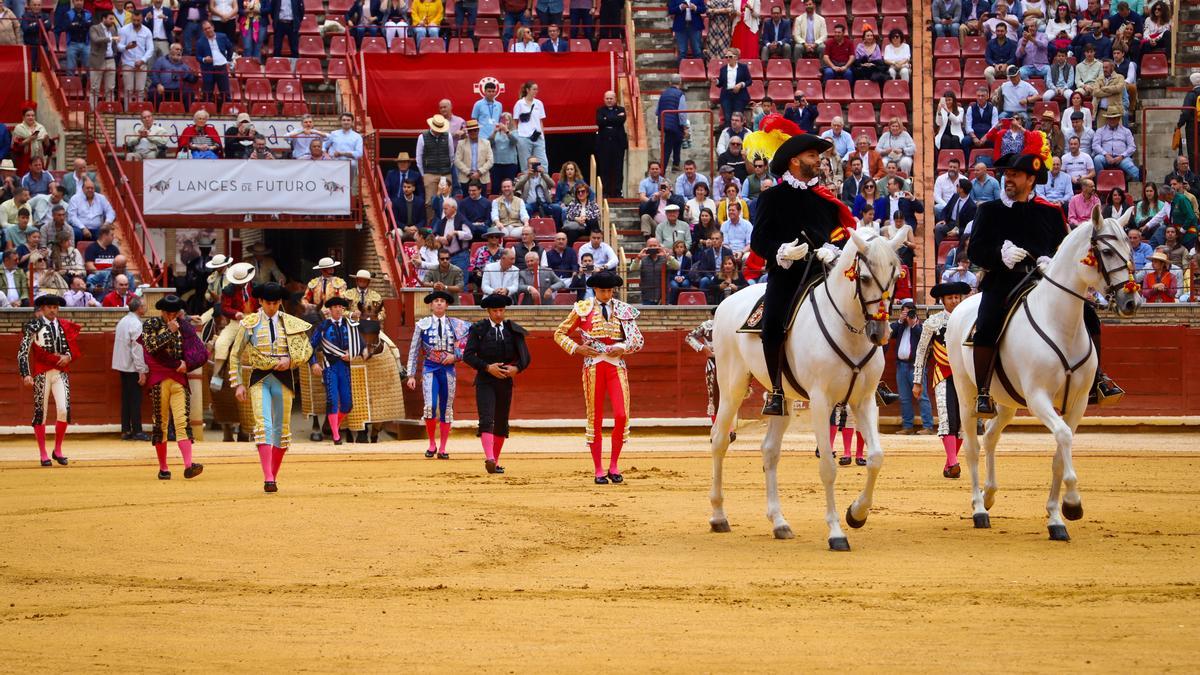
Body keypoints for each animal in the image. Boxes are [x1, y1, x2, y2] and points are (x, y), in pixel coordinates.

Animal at [700, 223, 907, 550]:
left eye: (897, 276)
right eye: (863, 278)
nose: (880, 332)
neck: (848, 327)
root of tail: (728, 301)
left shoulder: (864, 400)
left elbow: (876, 457)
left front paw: (856, 514)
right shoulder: (821, 402)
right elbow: (828, 467)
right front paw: (836, 532)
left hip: (780, 397)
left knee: (770, 450)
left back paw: (779, 522)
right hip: (732, 383)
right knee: (719, 439)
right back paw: (719, 516)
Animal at [945, 204, 1142, 535]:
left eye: (1130, 249)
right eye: (1105, 250)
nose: (1131, 301)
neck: (1061, 322)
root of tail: (962, 306)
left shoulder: (1077, 403)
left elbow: (1060, 452)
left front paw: (1056, 518)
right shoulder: (1039, 398)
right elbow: (1062, 437)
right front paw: (1073, 503)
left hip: (1006, 400)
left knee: (991, 436)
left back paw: (990, 495)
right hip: (965, 391)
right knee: (972, 446)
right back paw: (978, 509)